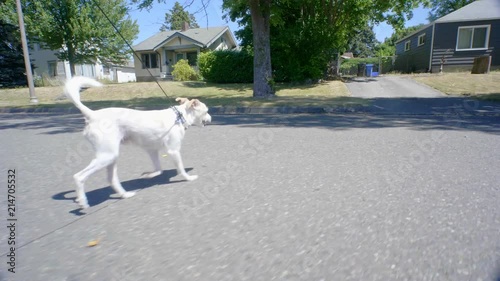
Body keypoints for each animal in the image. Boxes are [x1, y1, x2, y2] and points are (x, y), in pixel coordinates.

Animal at [64, 76, 211, 208]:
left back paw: (125, 194)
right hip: (107, 156)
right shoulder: (173, 151)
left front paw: (147, 176)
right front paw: (188, 177)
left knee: (112, 179)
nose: (211, 117)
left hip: (111, 157)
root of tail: (92, 115)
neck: (179, 116)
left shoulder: (152, 150)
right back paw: (82, 200)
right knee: (79, 177)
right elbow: (180, 169)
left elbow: (159, 169)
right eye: (206, 111)